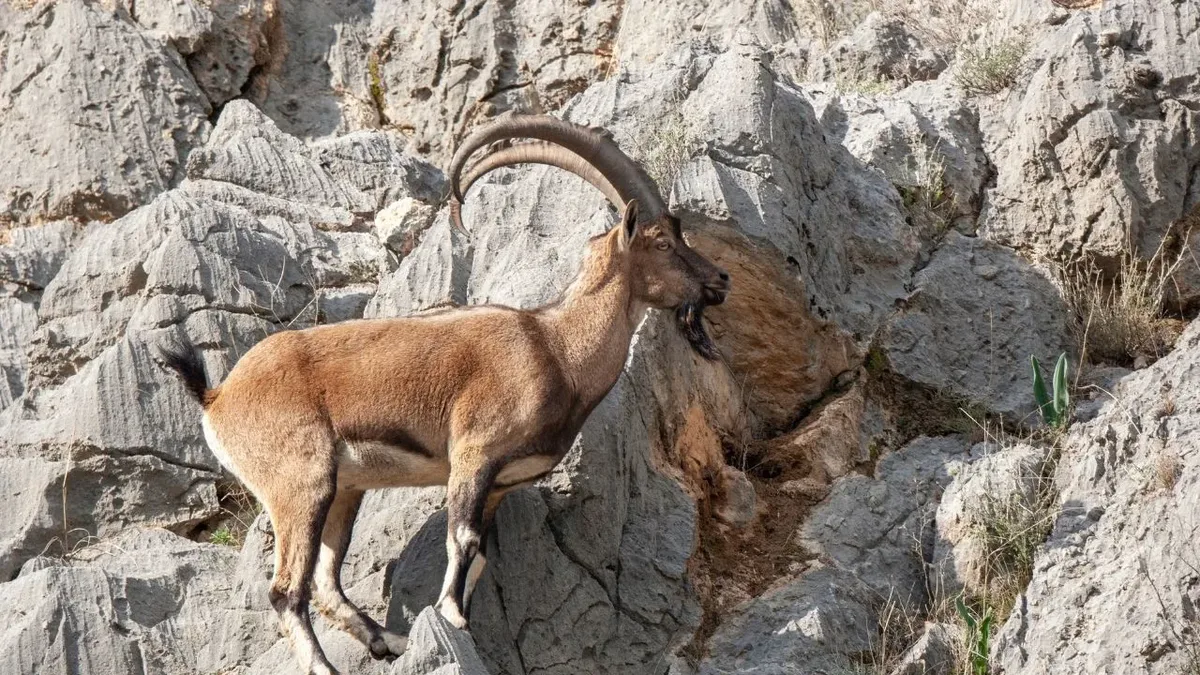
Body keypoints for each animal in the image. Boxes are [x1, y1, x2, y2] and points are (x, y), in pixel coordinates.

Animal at [159, 115, 729, 672]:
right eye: (661, 242)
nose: (720, 279)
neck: (558, 349)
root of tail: (219, 397)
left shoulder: (499, 484)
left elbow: (481, 557)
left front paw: (462, 624)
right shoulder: (475, 454)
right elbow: (464, 539)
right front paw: (451, 616)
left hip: (344, 490)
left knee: (324, 580)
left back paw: (388, 640)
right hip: (300, 481)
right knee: (286, 591)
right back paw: (330, 664)